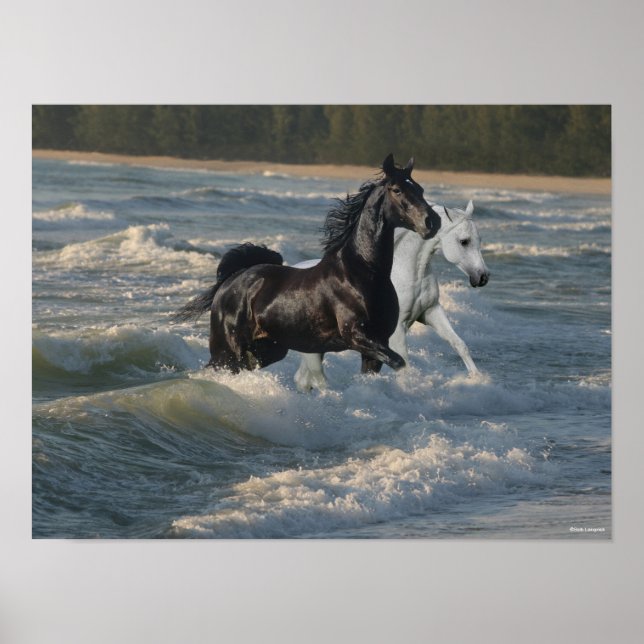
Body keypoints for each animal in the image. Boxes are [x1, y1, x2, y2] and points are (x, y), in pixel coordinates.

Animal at [173, 154, 442, 376]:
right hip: (227, 351)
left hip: (269, 348)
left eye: (420, 188)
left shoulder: (377, 345)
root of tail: (230, 282)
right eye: (397, 189)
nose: (432, 221)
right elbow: (399, 362)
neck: (365, 272)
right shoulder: (357, 336)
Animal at [293, 200, 489, 391]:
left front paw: (478, 379)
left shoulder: (431, 312)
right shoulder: (397, 331)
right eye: (464, 241)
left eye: (479, 239)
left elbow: (459, 344)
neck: (407, 274)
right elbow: (404, 364)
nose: (483, 277)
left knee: (304, 378)